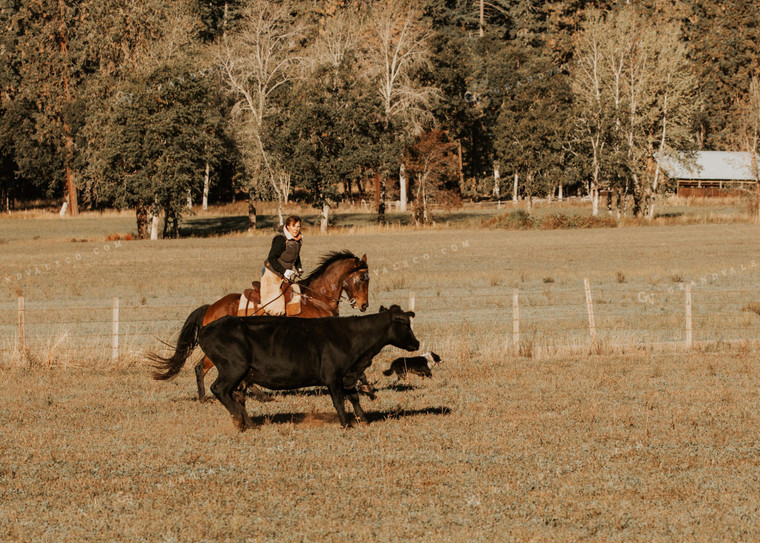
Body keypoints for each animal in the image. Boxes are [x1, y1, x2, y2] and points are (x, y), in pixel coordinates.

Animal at [151, 253, 368, 402]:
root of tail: (210, 308)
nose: (364, 305)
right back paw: (207, 398)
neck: (315, 299)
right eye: (361, 279)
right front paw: (363, 385)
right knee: (201, 368)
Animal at [194, 304, 416, 432]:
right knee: (219, 390)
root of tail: (206, 328)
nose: (417, 343)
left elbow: (354, 398)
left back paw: (250, 425)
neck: (351, 336)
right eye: (406, 324)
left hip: (242, 376)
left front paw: (363, 419)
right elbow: (339, 401)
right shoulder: (332, 377)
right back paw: (238, 421)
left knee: (238, 397)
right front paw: (346, 424)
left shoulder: (349, 375)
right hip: (233, 369)